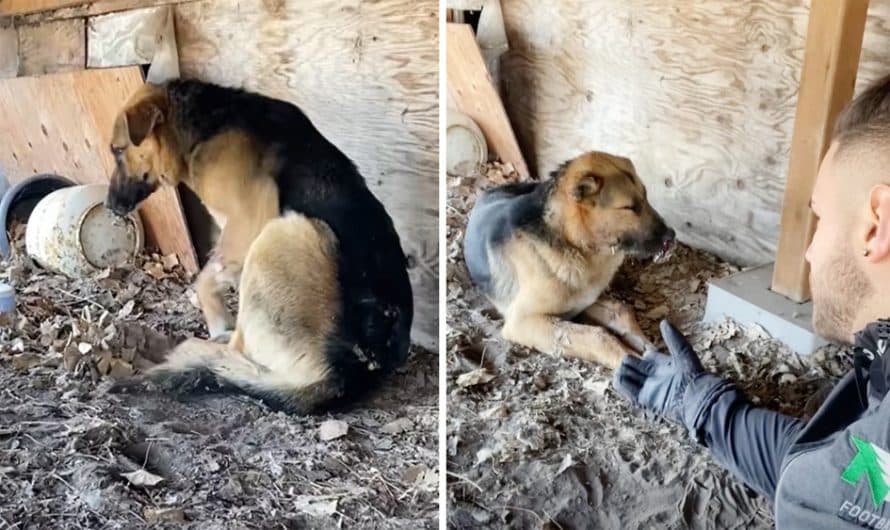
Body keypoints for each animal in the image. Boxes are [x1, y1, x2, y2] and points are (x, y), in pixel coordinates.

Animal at [104, 79, 412, 412]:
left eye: (118, 150)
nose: (109, 207)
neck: (204, 126)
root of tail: (350, 373)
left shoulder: (250, 217)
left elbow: (205, 280)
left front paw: (217, 321)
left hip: (285, 232)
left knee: (239, 345)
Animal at [464, 151, 672, 368]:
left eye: (646, 196)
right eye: (629, 208)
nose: (671, 236)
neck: (574, 242)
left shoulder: (585, 300)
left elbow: (621, 309)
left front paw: (646, 345)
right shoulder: (522, 321)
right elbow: (599, 336)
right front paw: (631, 360)